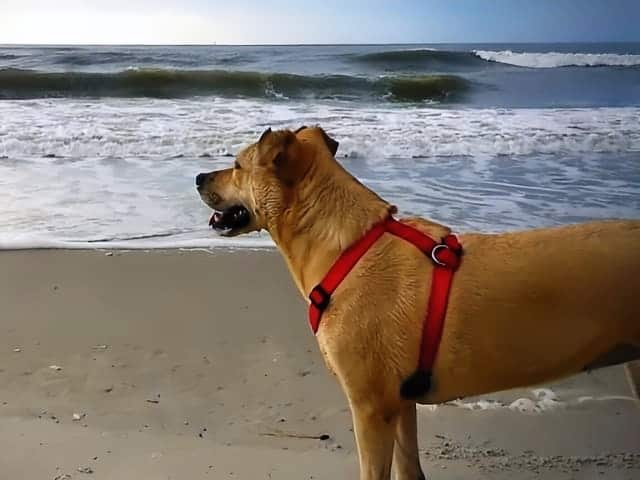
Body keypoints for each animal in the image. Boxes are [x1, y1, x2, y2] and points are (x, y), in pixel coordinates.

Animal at [196, 125, 640, 478]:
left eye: (237, 164)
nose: (199, 176)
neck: (348, 247)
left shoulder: (371, 408)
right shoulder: (401, 405)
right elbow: (409, 469)